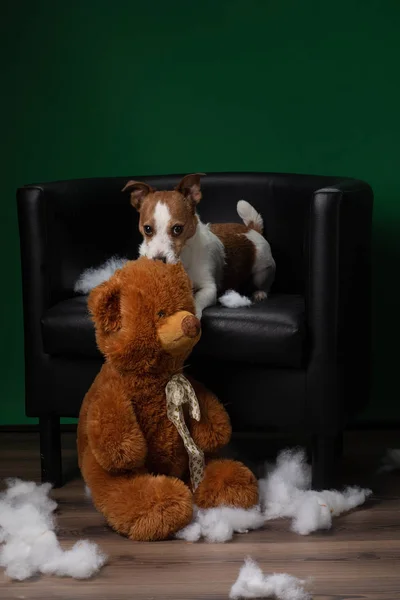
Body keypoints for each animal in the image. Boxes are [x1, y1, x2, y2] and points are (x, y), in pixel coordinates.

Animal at [120, 173, 274, 318]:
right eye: (147, 229)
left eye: (177, 229)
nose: (158, 260)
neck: (183, 259)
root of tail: (252, 230)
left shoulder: (209, 288)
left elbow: (197, 298)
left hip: (262, 271)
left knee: (265, 283)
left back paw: (260, 293)